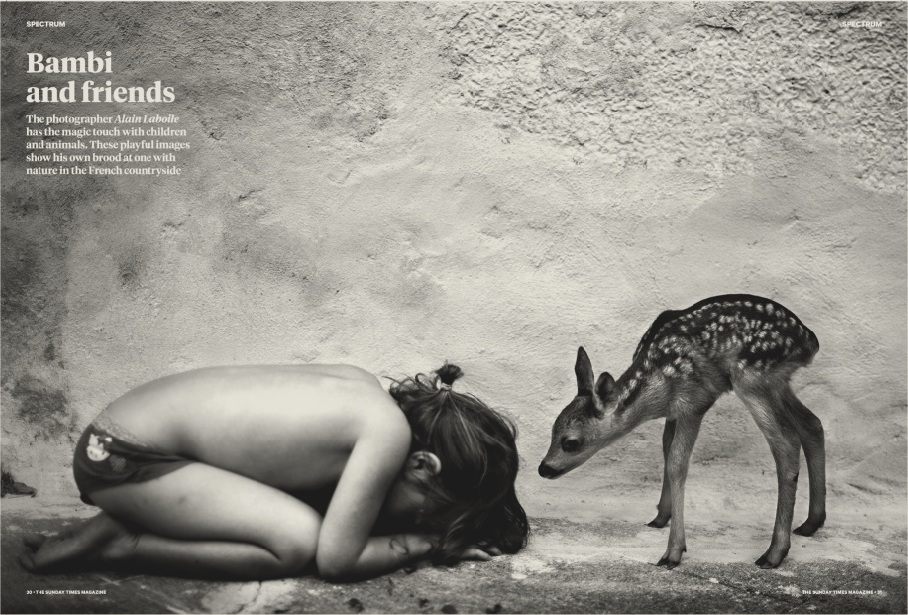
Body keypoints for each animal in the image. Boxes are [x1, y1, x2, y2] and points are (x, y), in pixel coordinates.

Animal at [538, 294, 825, 569]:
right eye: (552, 430)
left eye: (570, 442)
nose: (544, 468)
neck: (656, 386)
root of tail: (809, 340)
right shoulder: (673, 413)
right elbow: (666, 451)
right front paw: (660, 517)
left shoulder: (694, 402)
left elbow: (677, 463)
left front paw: (673, 552)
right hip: (777, 383)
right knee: (812, 424)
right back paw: (811, 523)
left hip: (752, 378)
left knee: (786, 443)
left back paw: (774, 553)